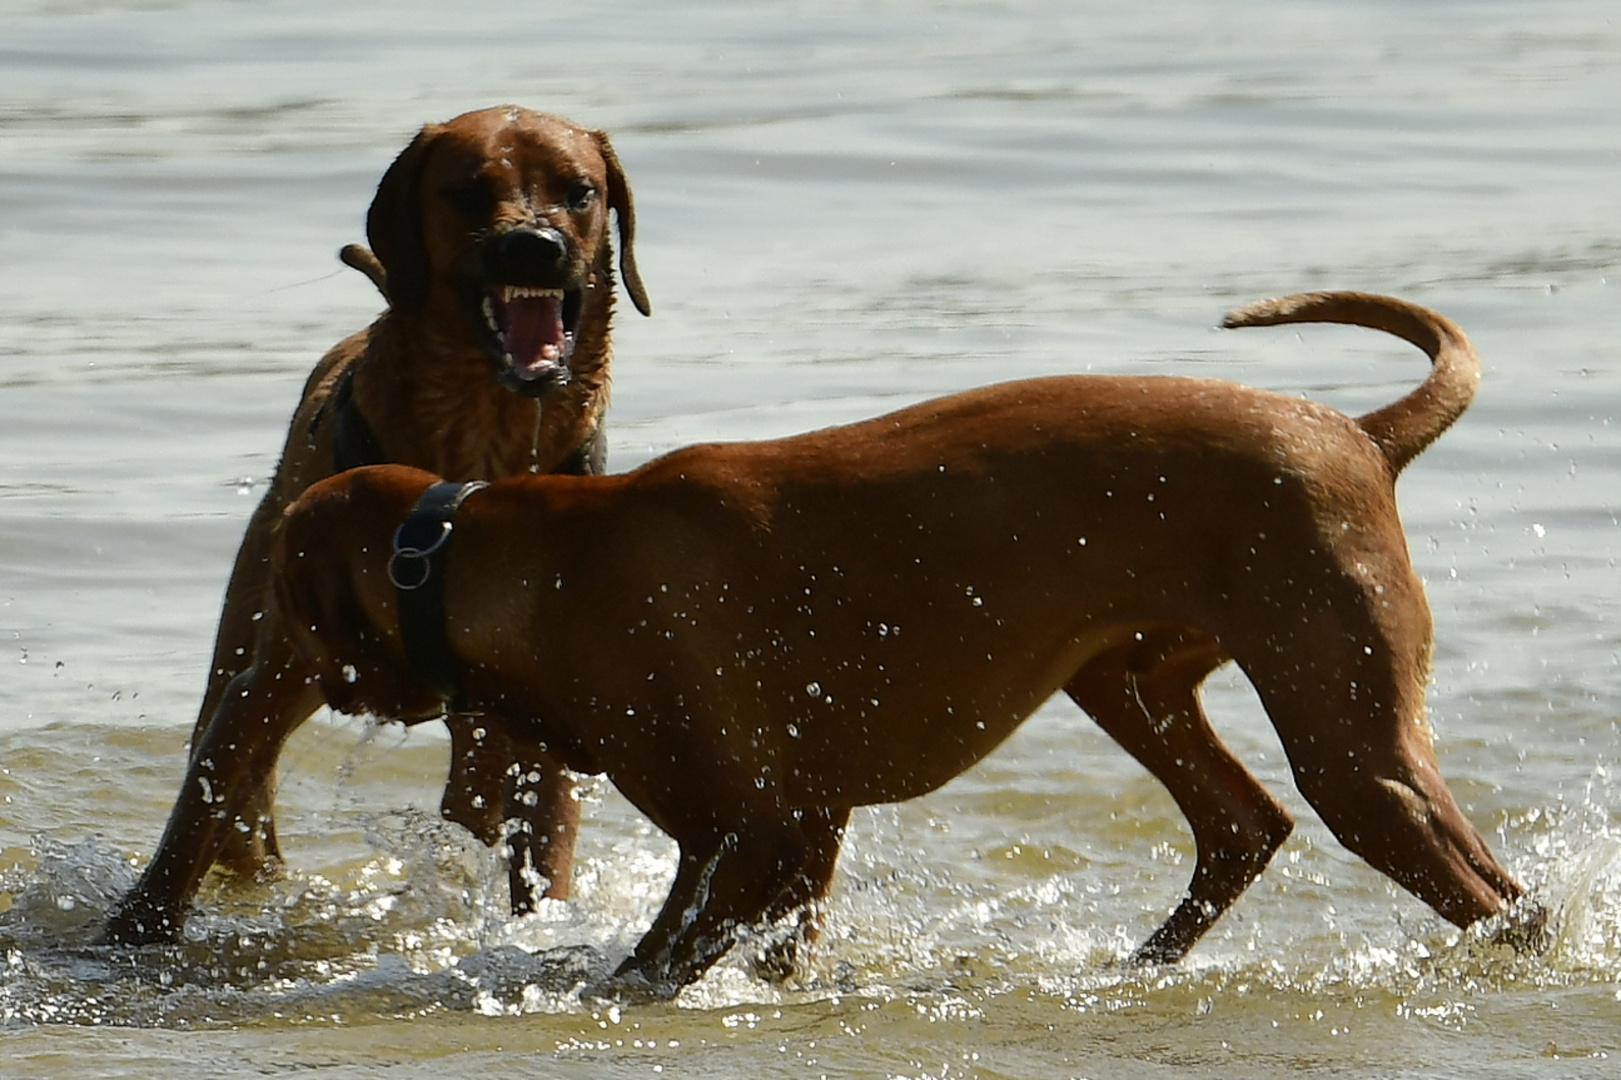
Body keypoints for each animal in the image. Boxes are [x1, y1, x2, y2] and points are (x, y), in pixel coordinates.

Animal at [104, 102, 651, 940]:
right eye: (468, 191)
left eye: (579, 191)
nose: (535, 244)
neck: (482, 437)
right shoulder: (272, 675)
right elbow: (187, 836)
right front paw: (132, 936)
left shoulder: (540, 716)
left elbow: (544, 846)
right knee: (238, 805)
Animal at [107, 288, 1523, 992]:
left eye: (282, 594)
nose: (248, 680)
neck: (495, 552)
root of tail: (1357, 434)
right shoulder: (789, 836)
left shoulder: (764, 837)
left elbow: (642, 970)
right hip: (1129, 685)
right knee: (1242, 826)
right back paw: (1137, 968)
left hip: (1351, 740)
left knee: (1497, 900)